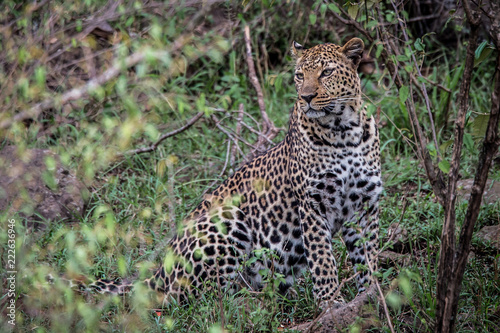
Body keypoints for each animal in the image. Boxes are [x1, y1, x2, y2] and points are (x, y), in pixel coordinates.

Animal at [73, 37, 382, 306]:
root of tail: (161, 269)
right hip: (227, 217)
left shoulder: (367, 204)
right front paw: (331, 303)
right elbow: (322, 258)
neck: (343, 131)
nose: (306, 96)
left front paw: (373, 294)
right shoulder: (312, 204)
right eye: (298, 75)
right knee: (200, 300)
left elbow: (369, 253)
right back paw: (257, 303)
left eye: (326, 72)